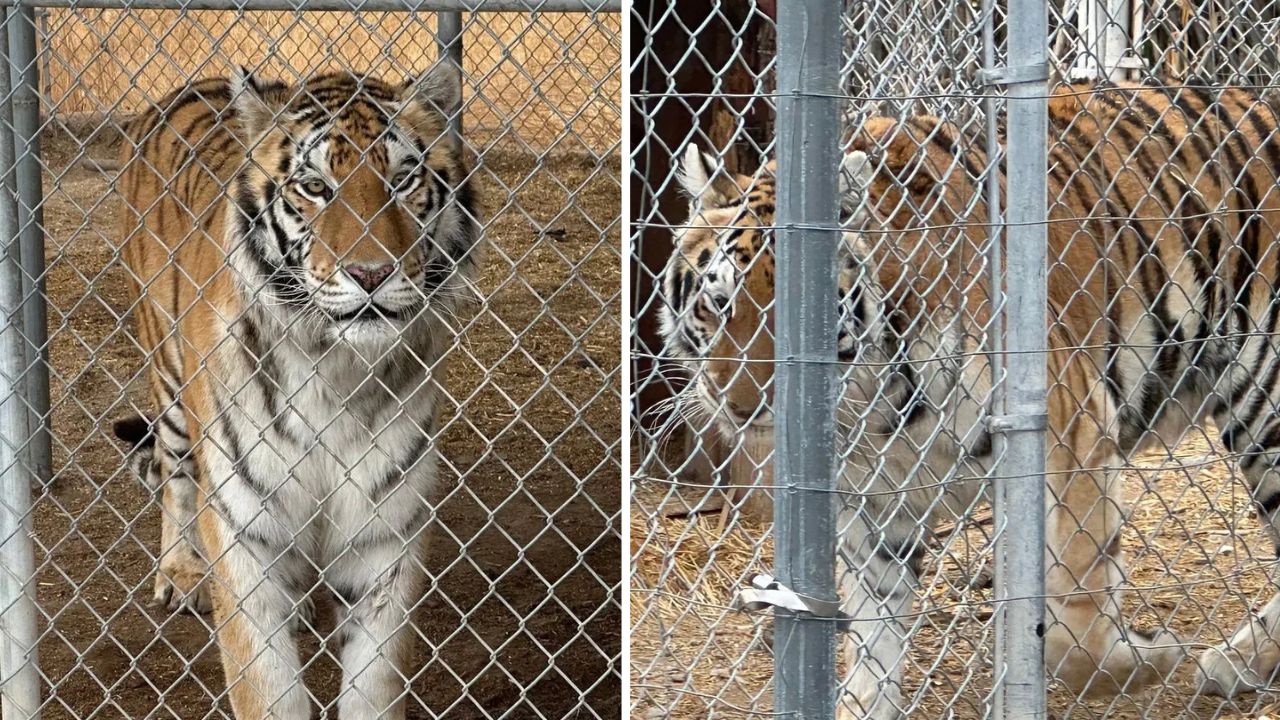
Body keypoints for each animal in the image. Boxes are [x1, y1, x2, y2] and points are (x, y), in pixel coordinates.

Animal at [112, 64, 480, 718]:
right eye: (314, 186)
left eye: (403, 179)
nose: (370, 274)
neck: (334, 369)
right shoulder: (243, 531)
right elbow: (264, 683)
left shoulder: (385, 535)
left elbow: (374, 684)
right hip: (170, 380)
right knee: (175, 474)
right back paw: (181, 573)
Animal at [659, 82, 1280, 718]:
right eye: (717, 305)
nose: (741, 407)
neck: (876, 405)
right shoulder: (876, 499)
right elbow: (874, 630)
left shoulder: (1070, 433)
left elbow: (1074, 626)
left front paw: (1152, 659)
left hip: (1263, 402)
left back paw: (1232, 661)